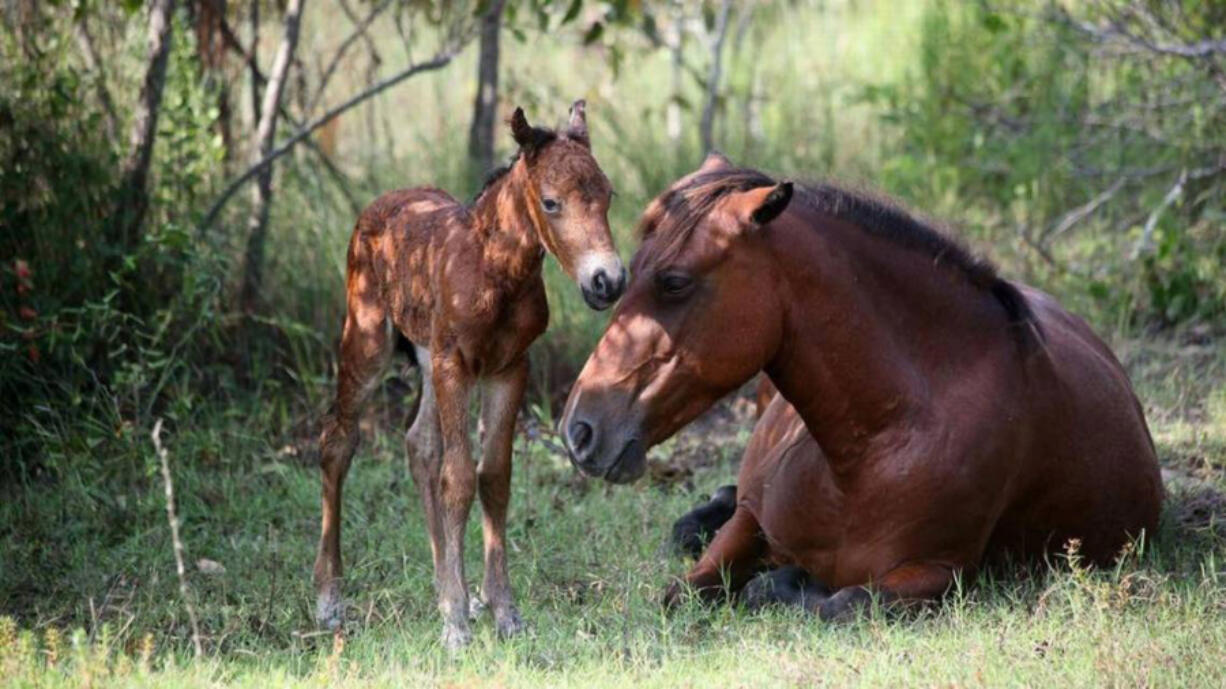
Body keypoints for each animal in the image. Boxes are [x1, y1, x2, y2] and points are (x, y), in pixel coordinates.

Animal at [316, 101, 627, 642]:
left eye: (608, 195)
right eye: (551, 203)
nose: (606, 281)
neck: (494, 270)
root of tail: (378, 206)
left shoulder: (510, 367)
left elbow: (494, 477)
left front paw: (500, 610)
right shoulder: (454, 364)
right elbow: (458, 478)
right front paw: (457, 625)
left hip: (424, 352)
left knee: (419, 443)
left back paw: (444, 588)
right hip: (368, 338)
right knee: (338, 441)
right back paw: (330, 599)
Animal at [561, 154, 1162, 617]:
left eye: (674, 282)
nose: (580, 430)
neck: (871, 449)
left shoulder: (938, 572)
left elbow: (838, 601)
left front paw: (784, 580)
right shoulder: (754, 518)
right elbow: (685, 589)